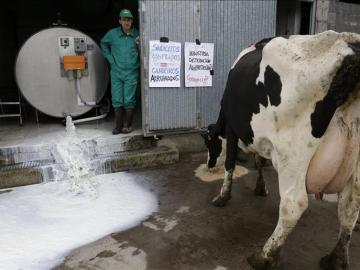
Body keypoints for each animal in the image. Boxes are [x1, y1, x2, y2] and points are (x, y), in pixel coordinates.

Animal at [204, 30, 360, 268]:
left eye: (210, 144)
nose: (208, 164)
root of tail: (349, 47)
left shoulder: (232, 127)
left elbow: (230, 163)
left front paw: (222, 197)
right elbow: (259, 160)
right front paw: (260, 188)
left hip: (293, 155)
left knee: (294, 204)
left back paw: (264, 256)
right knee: (350, 207)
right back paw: (336, 259)